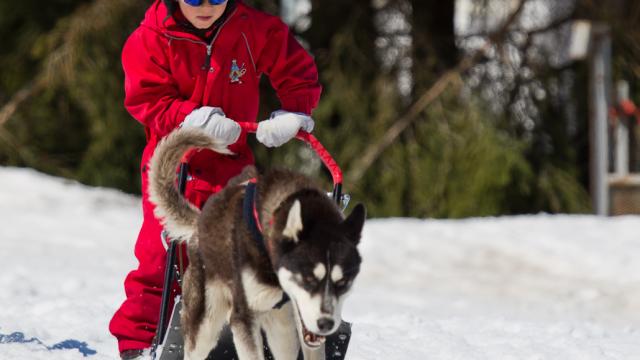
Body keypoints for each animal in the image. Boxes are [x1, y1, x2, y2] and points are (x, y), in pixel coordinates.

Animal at [146, 127, 364, 360]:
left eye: (343, 282)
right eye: (308, 278)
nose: (326, 323)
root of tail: (200, 223)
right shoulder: (243, 317)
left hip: (282, 328)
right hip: (206, 325)